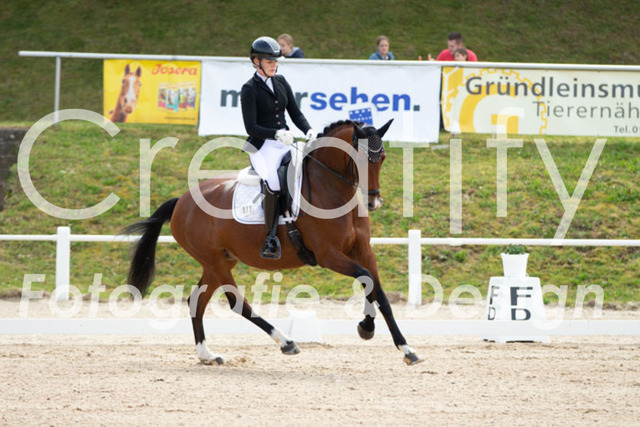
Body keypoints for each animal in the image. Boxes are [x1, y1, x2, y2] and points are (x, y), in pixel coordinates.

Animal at [125, 119, 423, 366]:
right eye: (357, 158)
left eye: (381, 158)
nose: (374, 203)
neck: (332, 189)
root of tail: (181, 201)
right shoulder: (328, 255)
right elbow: (366, 279)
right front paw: (367, 328)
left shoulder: (363, 251)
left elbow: (379, 292)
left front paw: (404, 348)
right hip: (214, 261)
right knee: (236, 302)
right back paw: (286, 342)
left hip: (219, 261)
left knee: (197, 301)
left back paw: (207, 355)